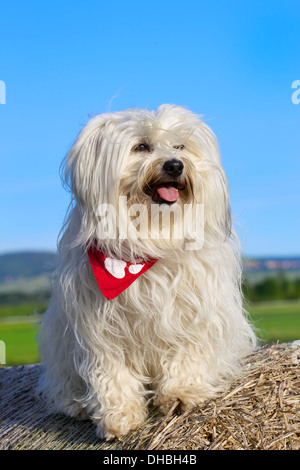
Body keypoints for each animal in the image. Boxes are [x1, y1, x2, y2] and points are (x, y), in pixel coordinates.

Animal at [37, 103, 256, 440]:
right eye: (141, 146)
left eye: (180, 146)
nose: (175, 165)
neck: (151, 238)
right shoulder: (100, 326)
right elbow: (113, 372)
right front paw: (119, 415)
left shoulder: (193, 310)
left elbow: (187, 352)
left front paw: (181, 394)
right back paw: (76, 404)